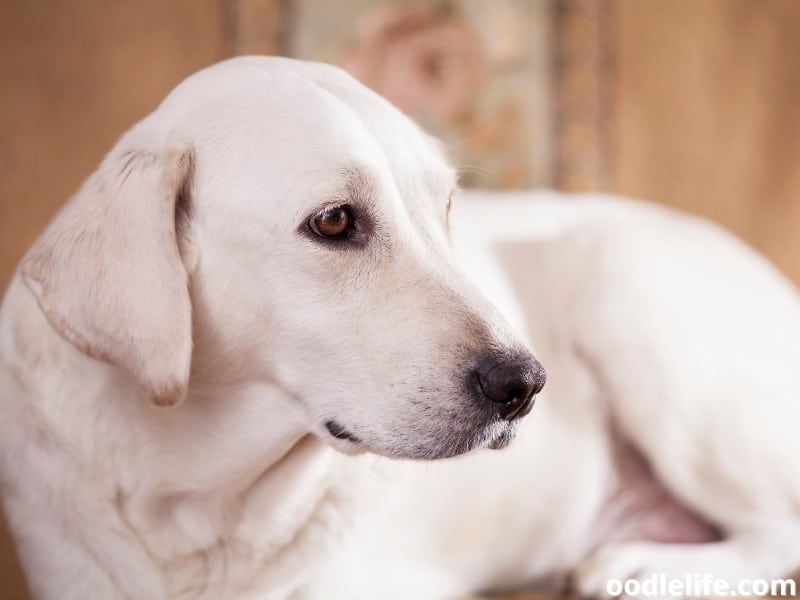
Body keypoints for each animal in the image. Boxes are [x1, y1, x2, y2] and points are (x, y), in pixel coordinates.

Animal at [0, 57, 796, 600]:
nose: (527, 384)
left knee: (780, 528)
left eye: (444, 208)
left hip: (617, 273)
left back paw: (644, 565)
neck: (198, 497)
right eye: (333, 221)